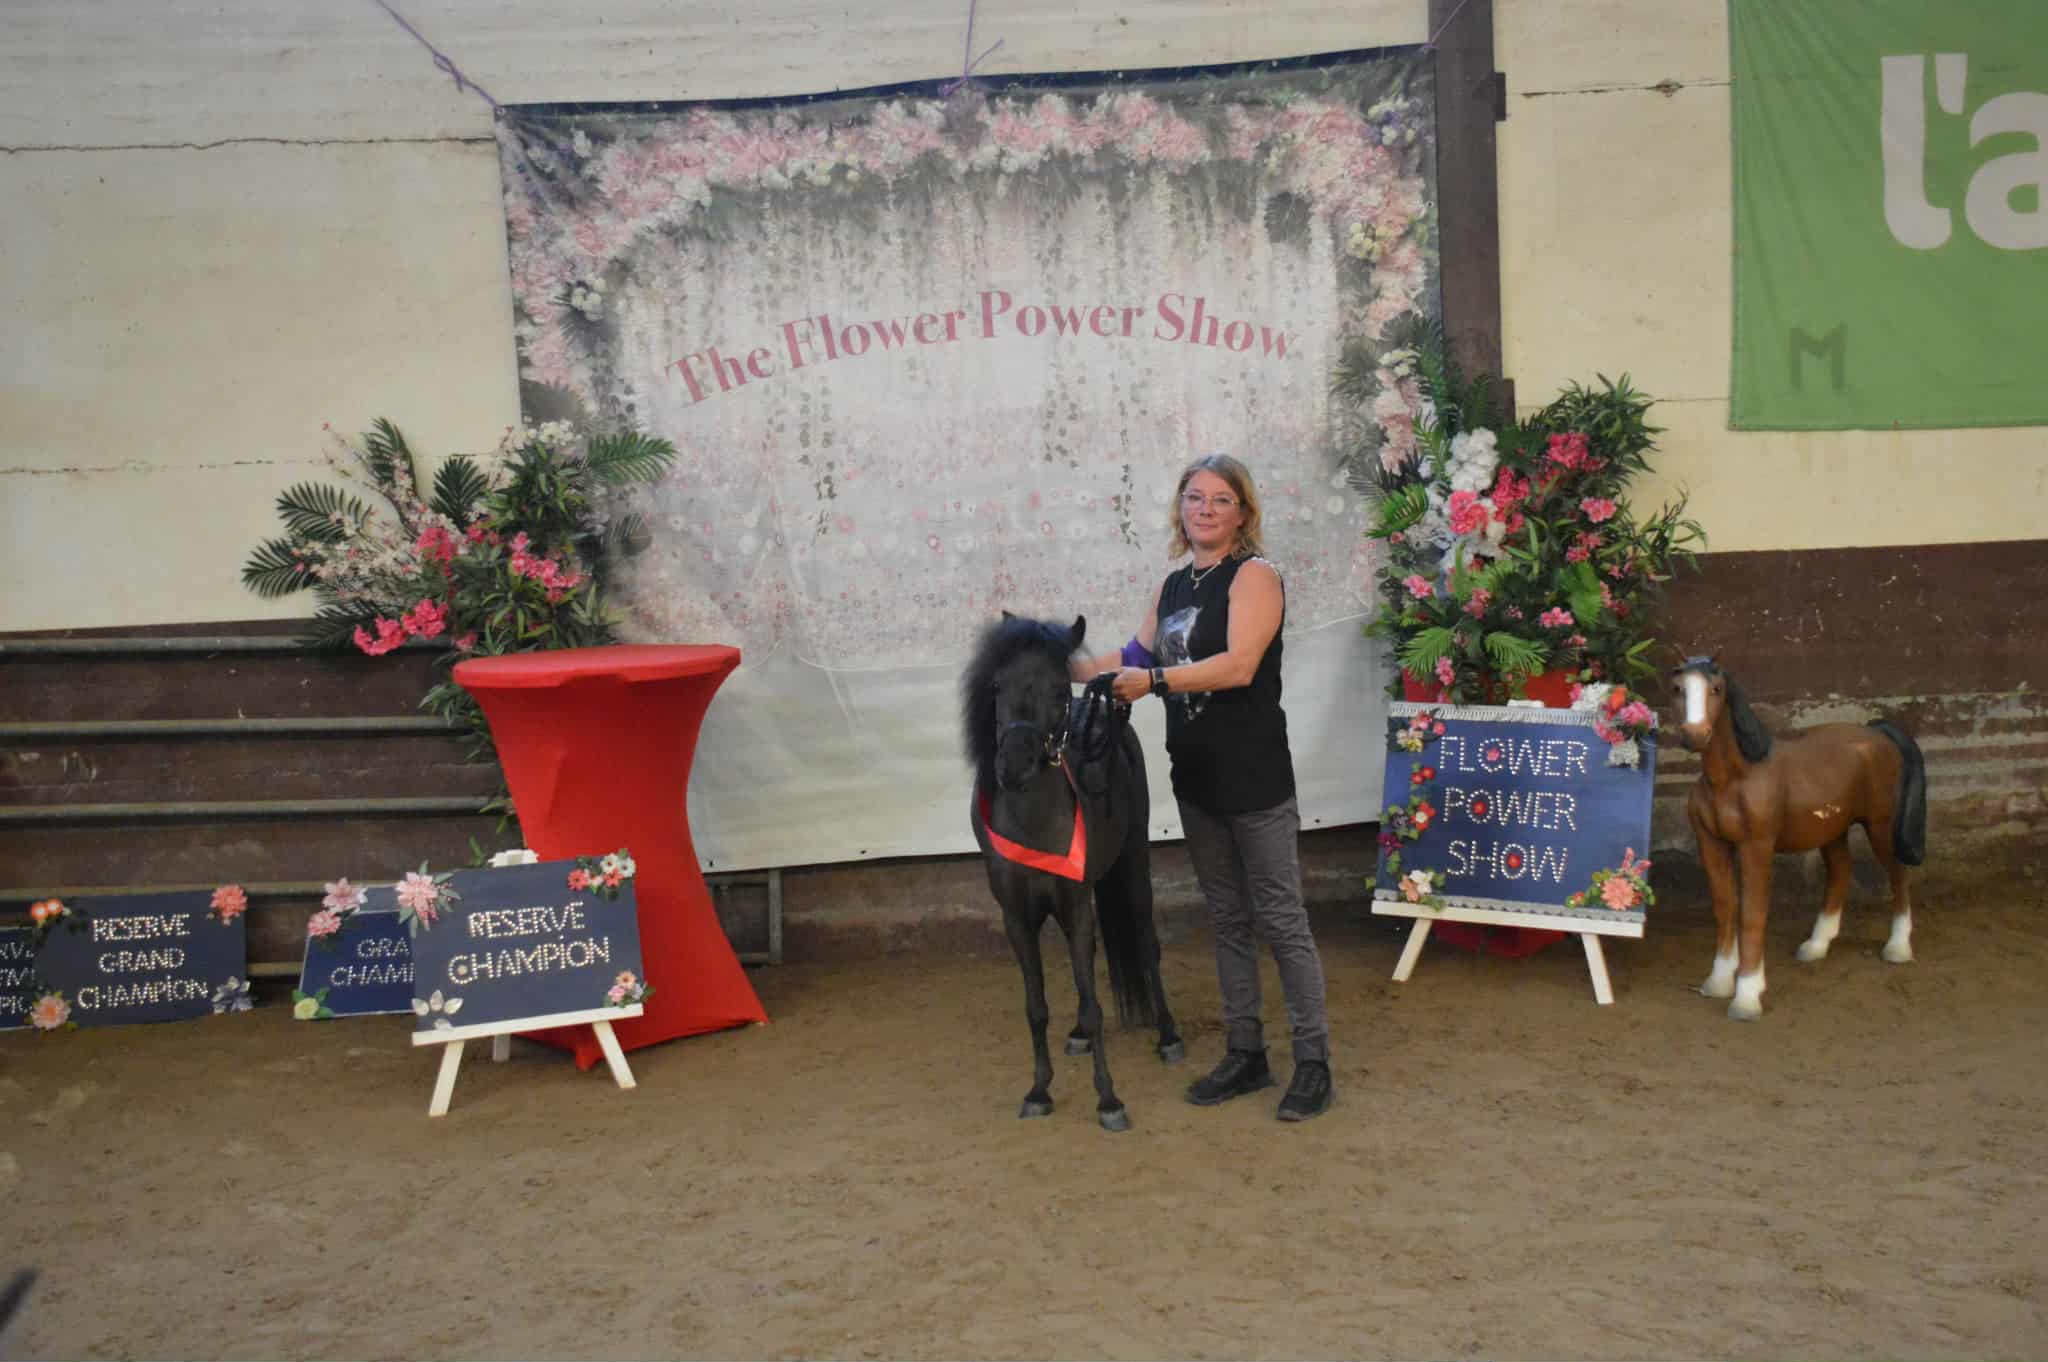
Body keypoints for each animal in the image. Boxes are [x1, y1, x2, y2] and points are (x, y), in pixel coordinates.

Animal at [962, 613, 1182, 1131]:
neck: (1034, 824)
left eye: (1060, 690)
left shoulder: (1077, 904)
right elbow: (1036, 1006)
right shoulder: (1018, 918)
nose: (1014, 766)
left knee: (1146, 942)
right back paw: (1080, 1034)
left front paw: (1109, 1100)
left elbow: (1095, 999)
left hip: (1134, 865)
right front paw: (1039, 1091)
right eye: (997, 684)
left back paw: (1167, 1036)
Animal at [1673, 656, 1927, 1021]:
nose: (1694, 735)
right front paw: (1718, 982)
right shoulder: (1712, 844)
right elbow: (1725, 907)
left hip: (1879, 826)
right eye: (1678, 688)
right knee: (1841, 872)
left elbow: (1752, 914)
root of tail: (1878, 732)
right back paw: (1816, 945)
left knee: (1898, 874)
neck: (1734, 778)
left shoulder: (1756, 846)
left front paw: (1747, 996)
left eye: (1717, 689)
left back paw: (1898, 947)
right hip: (1832, 829)